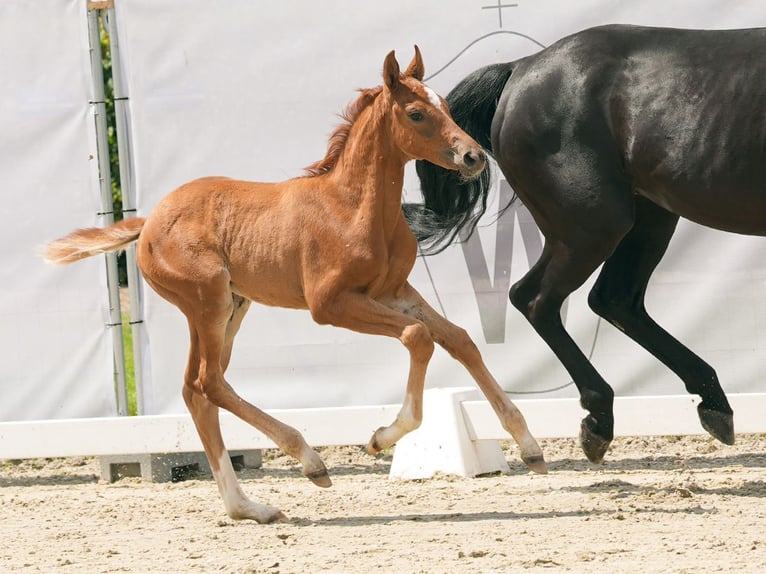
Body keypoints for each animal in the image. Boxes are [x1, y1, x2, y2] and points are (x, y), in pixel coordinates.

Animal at [45, 48, 544, 528]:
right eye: (417, 113)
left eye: (447, 107)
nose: (473, 157)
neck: (353, 208)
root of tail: (148, 223)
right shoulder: (331, 304)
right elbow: (418, 337)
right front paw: (381, 438)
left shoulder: (394, 291)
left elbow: (459, 339)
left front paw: (529, 446)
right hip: (209, 302)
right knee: (209, 382)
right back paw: (308, 461)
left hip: (231, 308)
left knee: (196, 389)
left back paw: (249, 508)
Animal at [412, 24, 766, 468]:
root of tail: (521, 68)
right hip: (594, 224)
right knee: (536, 298)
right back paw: (599, 420)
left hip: (647, 219)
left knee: (614, 300)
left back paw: (713, 405)